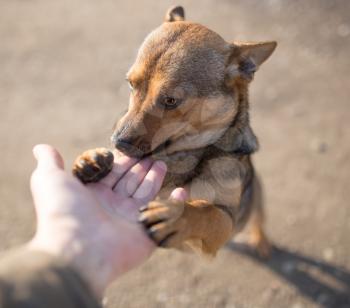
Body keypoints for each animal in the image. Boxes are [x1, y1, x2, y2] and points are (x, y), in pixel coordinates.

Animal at [73, 6, 276, 258]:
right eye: (130, 83)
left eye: (171, 101)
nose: (117, 142)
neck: (180, 156)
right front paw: (90, 159)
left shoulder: (225, 222)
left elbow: (206, 212)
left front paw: (176, 216)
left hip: (257, 196)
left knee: (258, 218)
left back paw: (260, 240)